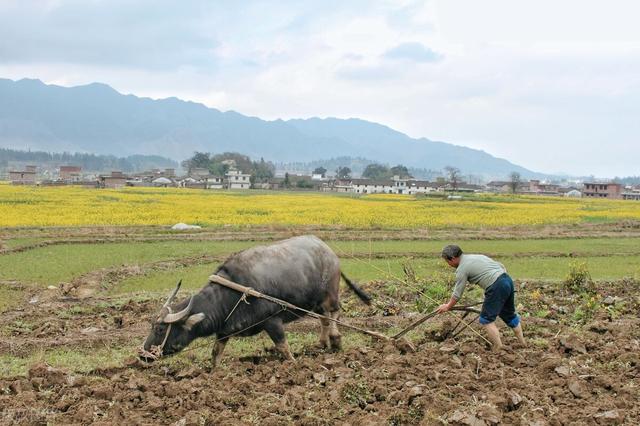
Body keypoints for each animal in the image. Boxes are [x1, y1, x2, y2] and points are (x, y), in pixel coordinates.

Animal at [140, 235, 370, 364]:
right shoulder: (224, 331)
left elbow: (284, 348)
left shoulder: (272, 322)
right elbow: (215, 354)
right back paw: (322, 343)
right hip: (315, 302)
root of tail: (328, 251)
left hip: (330, 294)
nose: (143, 355)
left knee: (334, 314)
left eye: (160, 329)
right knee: (323, 319)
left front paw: (294, 365)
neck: (233, 294)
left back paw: (335, 339)